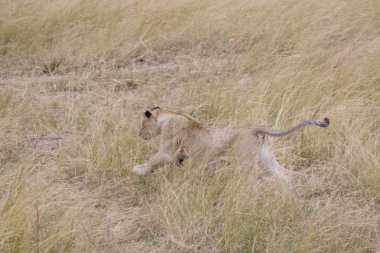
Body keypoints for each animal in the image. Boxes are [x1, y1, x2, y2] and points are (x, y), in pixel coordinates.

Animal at [133, 104, 330, 182]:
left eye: (142, 124)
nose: (139, 134)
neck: (168, 115)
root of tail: (254, 129)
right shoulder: (180, 151)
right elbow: (177, 158)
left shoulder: (167, 146)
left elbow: (154, 161)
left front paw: (138, 170)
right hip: (267, 160)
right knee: (285, 176)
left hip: (245, 164)